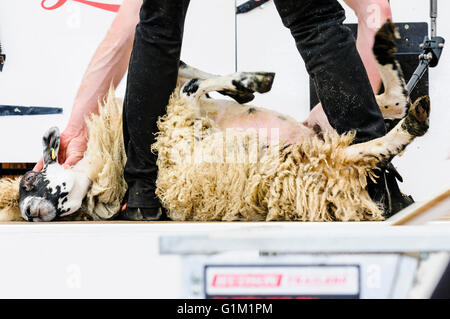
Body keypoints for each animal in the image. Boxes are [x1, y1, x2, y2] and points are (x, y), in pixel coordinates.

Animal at [0, 20, 430, 222]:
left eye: (28, 179)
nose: (30, 212)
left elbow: (186, 71)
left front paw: (245, 86)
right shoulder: (181, 120)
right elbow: (194, 85)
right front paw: (249, 83)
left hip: (320, 131)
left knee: (391, 102)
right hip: (297, 161)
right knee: (368, 146)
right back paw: (411, 119)